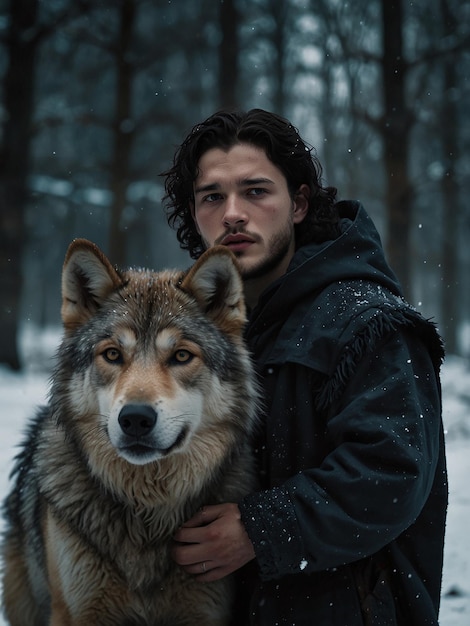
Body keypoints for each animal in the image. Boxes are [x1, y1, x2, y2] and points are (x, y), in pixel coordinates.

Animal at [0, 236, 258, 620]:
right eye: (112, 355)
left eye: (181, 356)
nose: (135, 418)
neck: (145, 515)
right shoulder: (76, 611)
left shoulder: (203, 610)